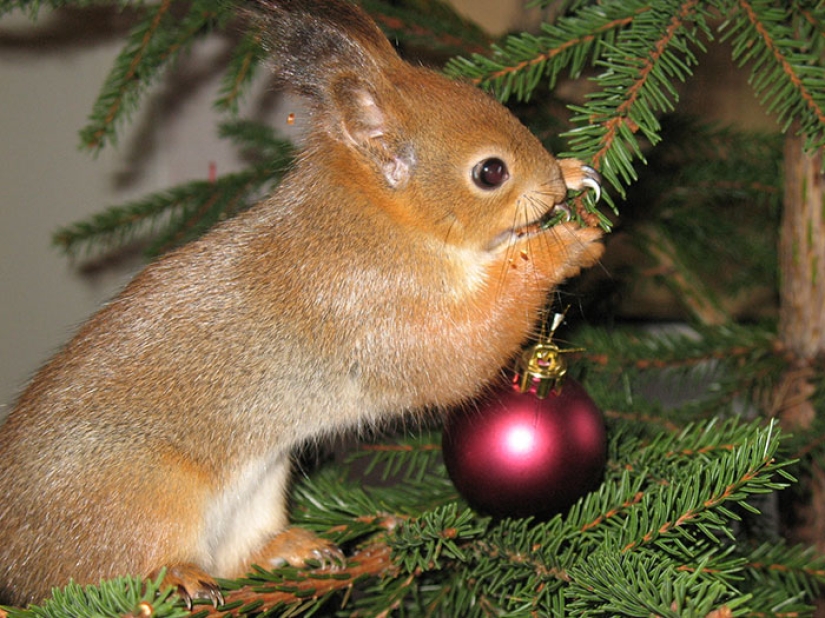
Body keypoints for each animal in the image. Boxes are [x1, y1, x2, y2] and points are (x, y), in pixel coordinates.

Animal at [0, 0, 603, 607]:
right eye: (490, 172)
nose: (552, 185)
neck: (377, 220)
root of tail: (16, 559)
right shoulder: (366, 304)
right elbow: (459, 353)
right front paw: (558, 246)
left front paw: (574, 175)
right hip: (138, 501)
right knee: (109, 574)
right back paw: (175, 578)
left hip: (259, 493)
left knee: (238, 557)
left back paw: (290, 550)